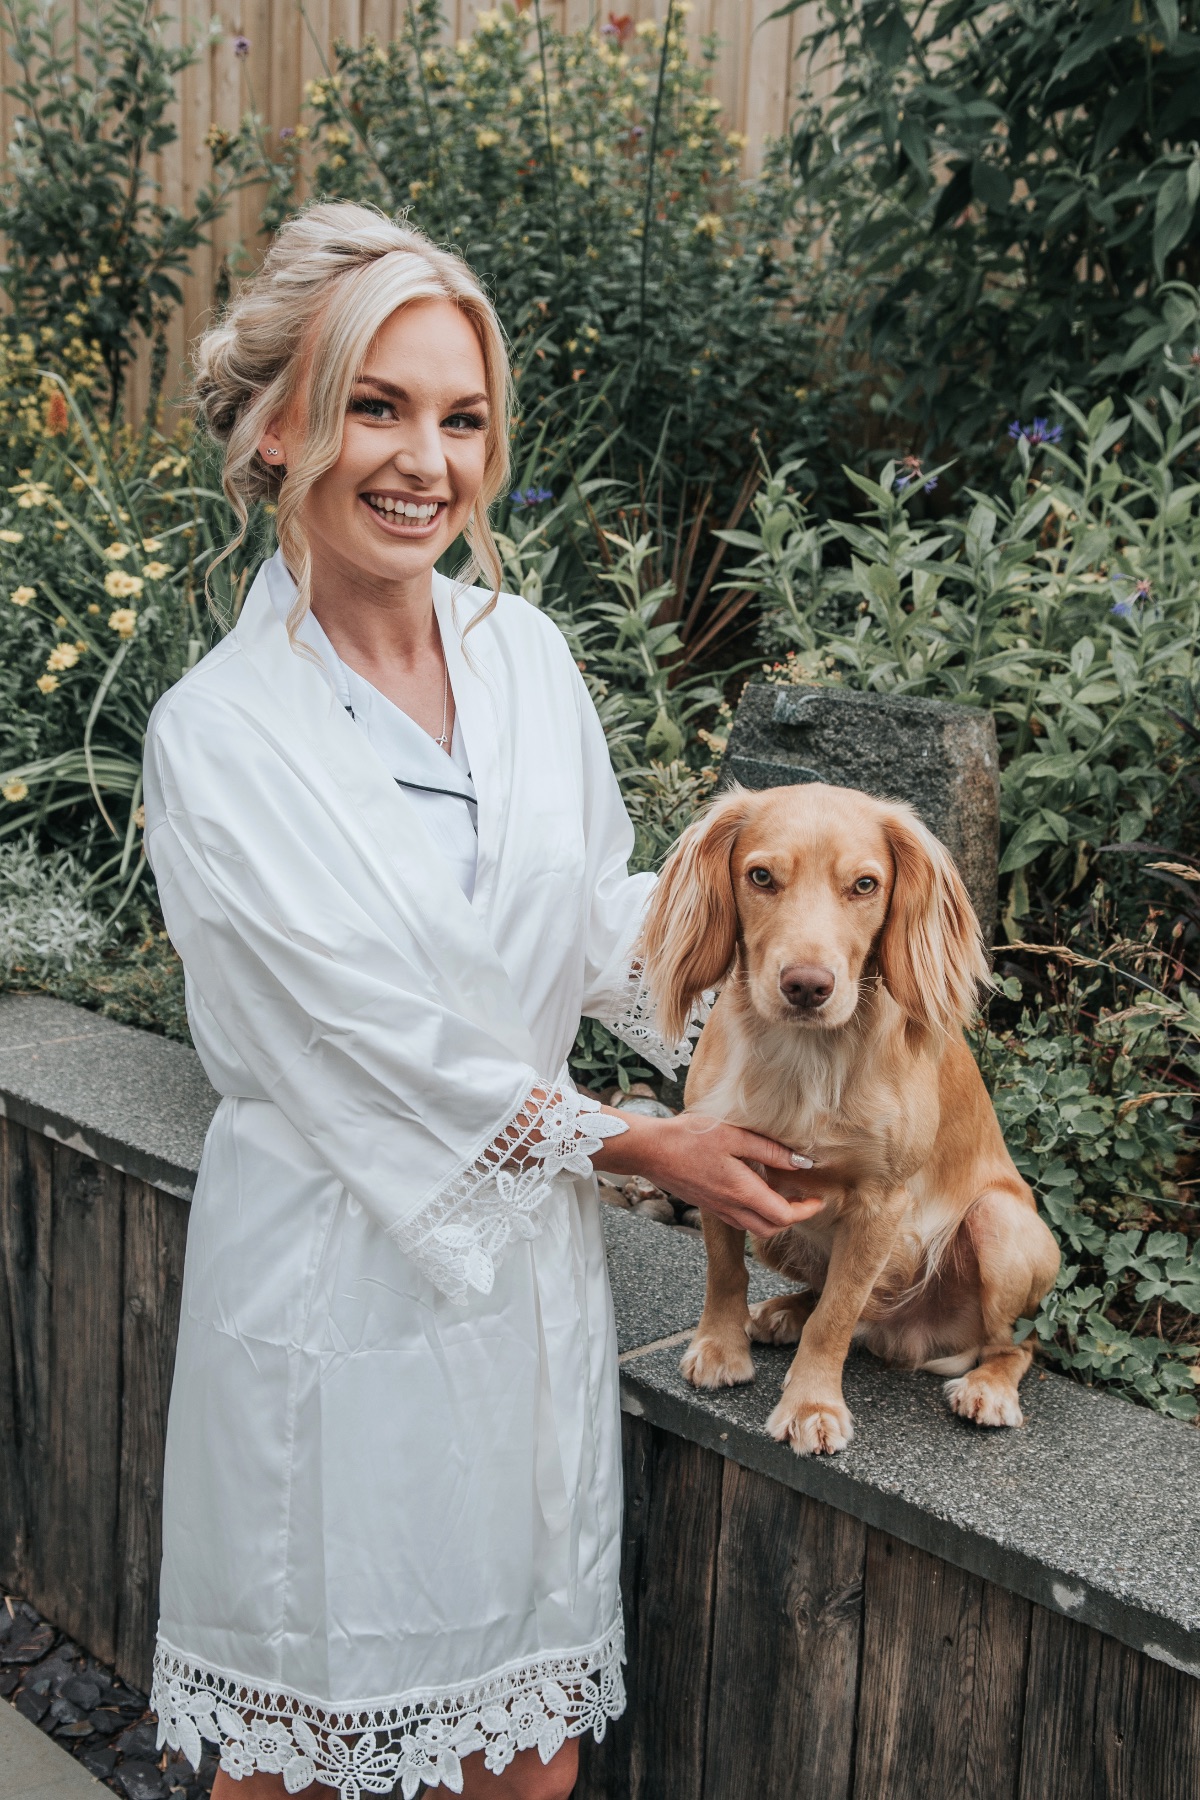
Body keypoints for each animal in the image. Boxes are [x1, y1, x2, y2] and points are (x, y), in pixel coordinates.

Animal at [639, 781, 1060, 1457]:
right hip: (776, 1228)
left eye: (865, 885)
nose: (807, 986)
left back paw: (989, 1387)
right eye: (760, 876)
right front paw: (721, 1349)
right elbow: (726, 1272)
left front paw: (811, 1405)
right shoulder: (723, 1169)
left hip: (1000, 1226)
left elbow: (835, 1319)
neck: (807, 1057)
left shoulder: (880, 1203)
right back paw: (785, 1311)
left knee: (1018, 1344)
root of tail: (904, 1334)